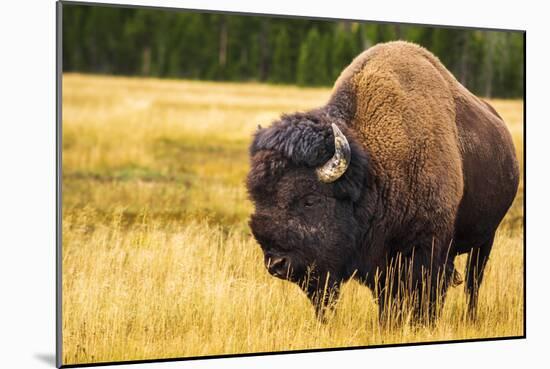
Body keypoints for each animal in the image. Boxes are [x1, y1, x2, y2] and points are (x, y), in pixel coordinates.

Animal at [248, 41, 520, 322]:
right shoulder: (379, 262)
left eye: (310, 200)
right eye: (257, 198)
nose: (276, 264)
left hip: (486, 239)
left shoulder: (428, 248)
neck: (374, 170)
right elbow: (387, 299)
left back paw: (470, 317)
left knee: (473, 283)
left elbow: (426, 294)